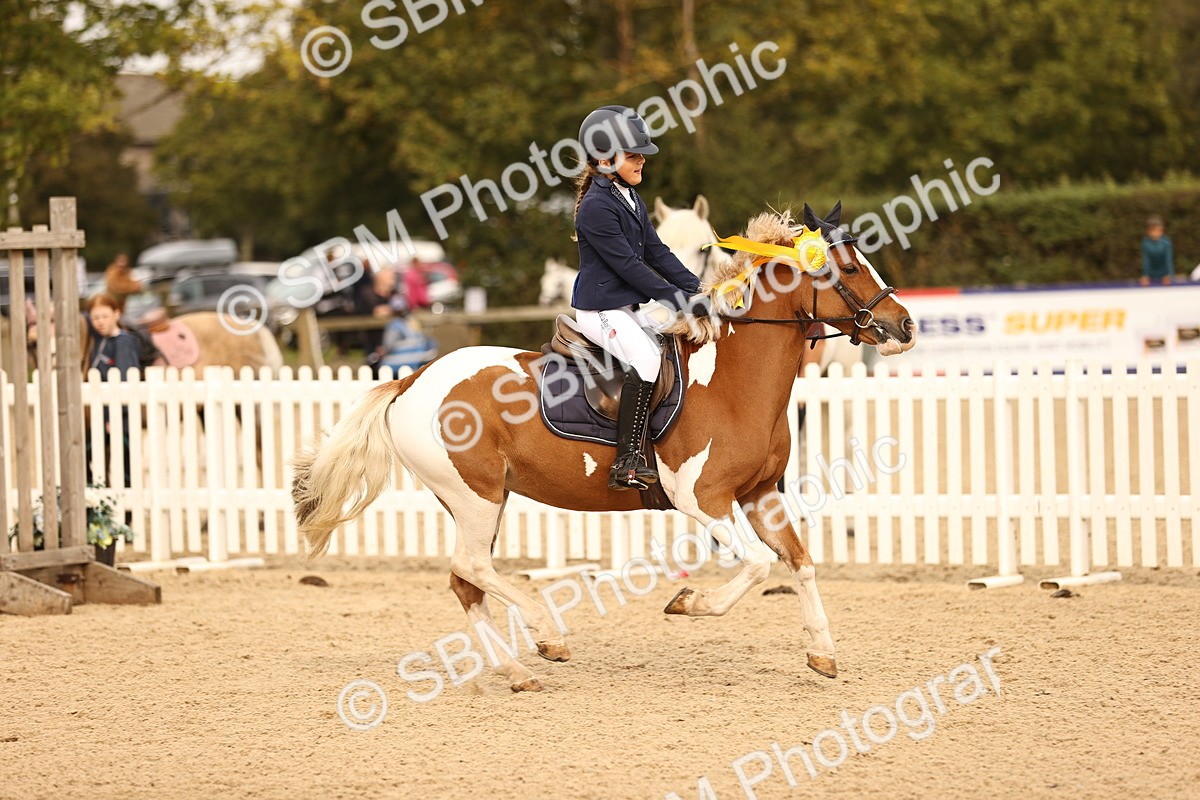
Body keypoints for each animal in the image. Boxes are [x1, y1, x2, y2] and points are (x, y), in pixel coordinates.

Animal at [293, 204, 916, 693]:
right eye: (848, 267)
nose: (904, 325)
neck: (733, 379)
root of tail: (413, 379)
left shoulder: (760, 495)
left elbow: (800, 563)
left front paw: (822, 652)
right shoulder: (704, 500)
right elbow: (760, 565)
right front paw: (688, 603)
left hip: (480, 500)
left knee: (466, 580)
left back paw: (517, 671)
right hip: (475, 497)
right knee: (471, 566)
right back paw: (547, 635)